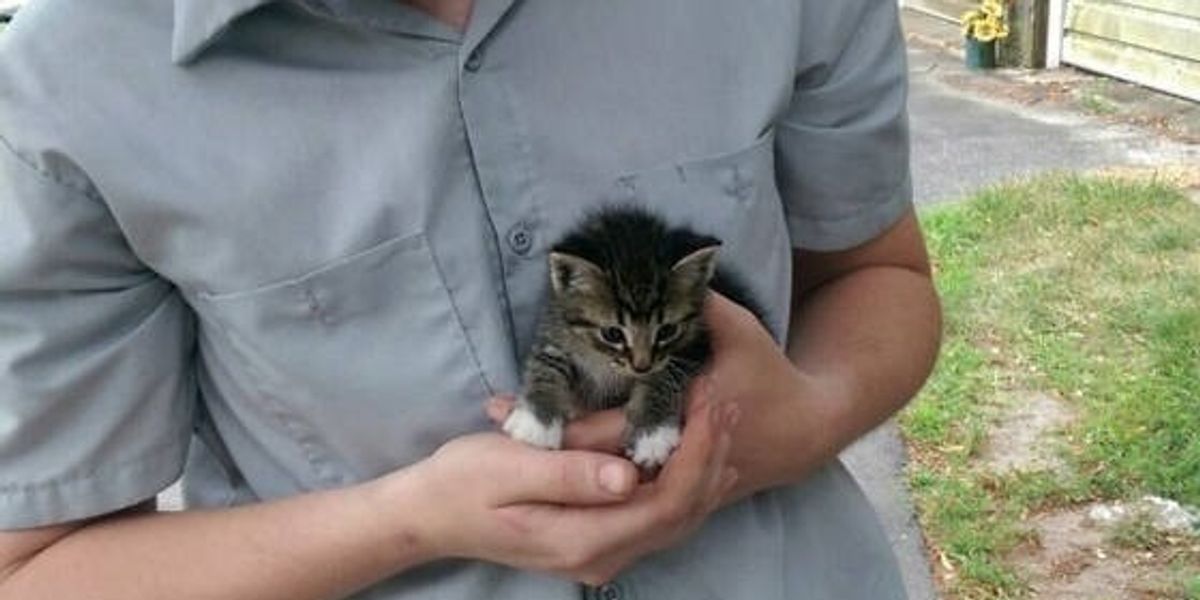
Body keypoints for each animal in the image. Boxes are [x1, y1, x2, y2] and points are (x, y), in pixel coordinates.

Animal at [504, 206, 758, 468]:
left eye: (667, 331)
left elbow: (664, 376)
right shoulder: (556, 326)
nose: (641, 366)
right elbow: (546, 363)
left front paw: (652, 433)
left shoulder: (697, 342)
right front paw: (536, 420)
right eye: (612, 334)